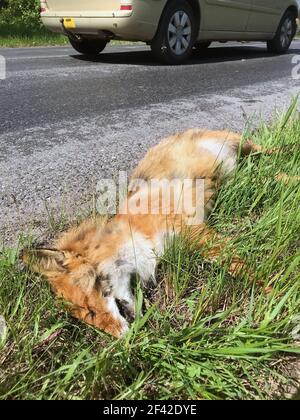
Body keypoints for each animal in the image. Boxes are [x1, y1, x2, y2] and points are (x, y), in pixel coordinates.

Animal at [23, 130, 296, 338]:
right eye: (87, 318)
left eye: (89, 310)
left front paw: (277, 294)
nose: (122, 339)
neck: (134, 233)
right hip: (240, 171)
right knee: (268, 172)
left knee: (270, 152)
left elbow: (244, 269)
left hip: (241, 146)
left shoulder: (194, 232)